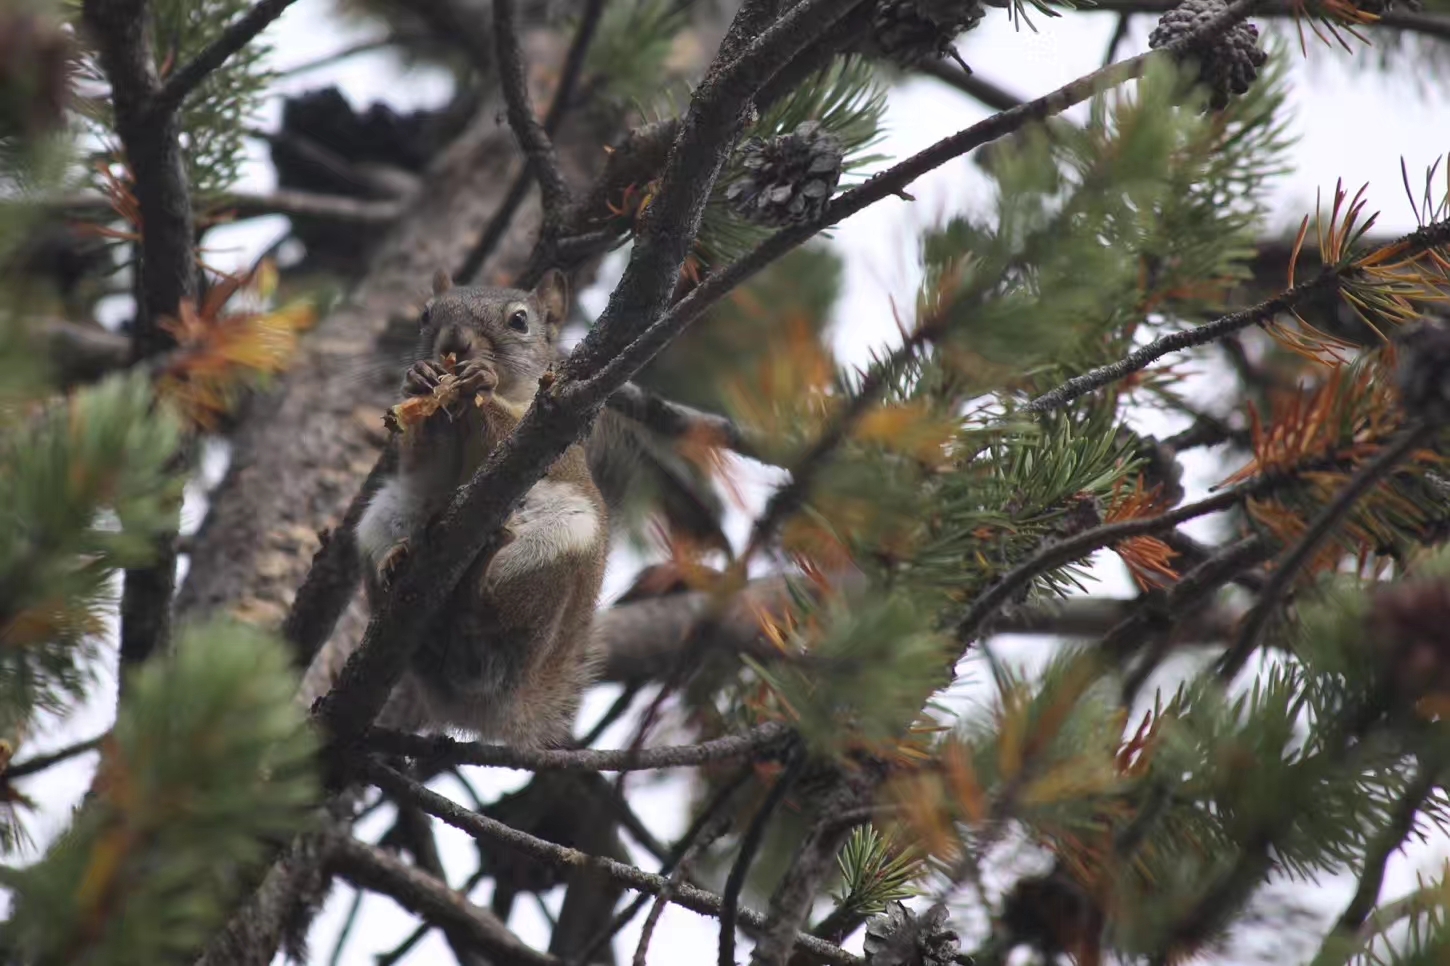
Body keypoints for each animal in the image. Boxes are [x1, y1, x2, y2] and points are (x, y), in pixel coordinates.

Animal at [362, 265, 611, 742]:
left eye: (519, 321)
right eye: (426, 315)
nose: (454, 343)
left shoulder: (554, 433)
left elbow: (504, 434)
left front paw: (481, 383)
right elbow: (422, 458)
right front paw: (421, 378)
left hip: (562, 543)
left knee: (490, 613)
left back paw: (476, 578)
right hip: (378, 521)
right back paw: (396, 563)